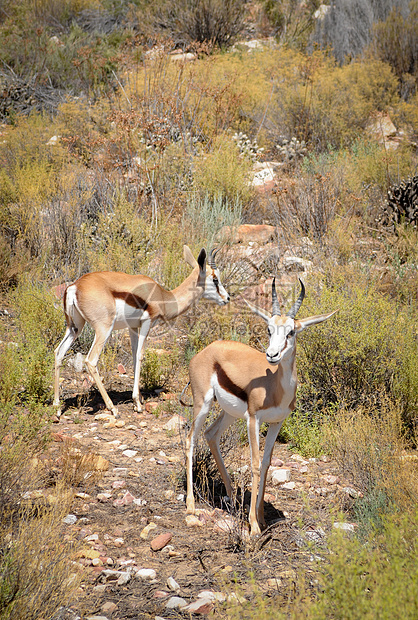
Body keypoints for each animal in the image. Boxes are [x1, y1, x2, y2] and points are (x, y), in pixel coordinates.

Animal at [53, 246, 229, 416]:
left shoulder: (133, 327)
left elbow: (133, 355)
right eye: (215, 278)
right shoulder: (147, 323)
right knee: (91, 361)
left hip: (75, 328)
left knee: (58, 352)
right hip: (103, 329)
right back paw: (113, 409)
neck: (163, 296)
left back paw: (57, 408)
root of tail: (75, 286)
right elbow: (140, 355)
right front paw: (137, 403)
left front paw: (138, 399)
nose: (227, 298)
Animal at [185, 278, 336, 536]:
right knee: (190, 439)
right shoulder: (254, 419)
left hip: (229, 413)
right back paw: (191, 505)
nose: (272, 355)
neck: (274, 386)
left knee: (211, 434)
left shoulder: (276, 423)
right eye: (269, 329)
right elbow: (255, 464)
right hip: (202, 405)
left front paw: (262, 518)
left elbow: (266, 464)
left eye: (291, 331)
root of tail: (208, 349)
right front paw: (254, 525)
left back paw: (233, 498)